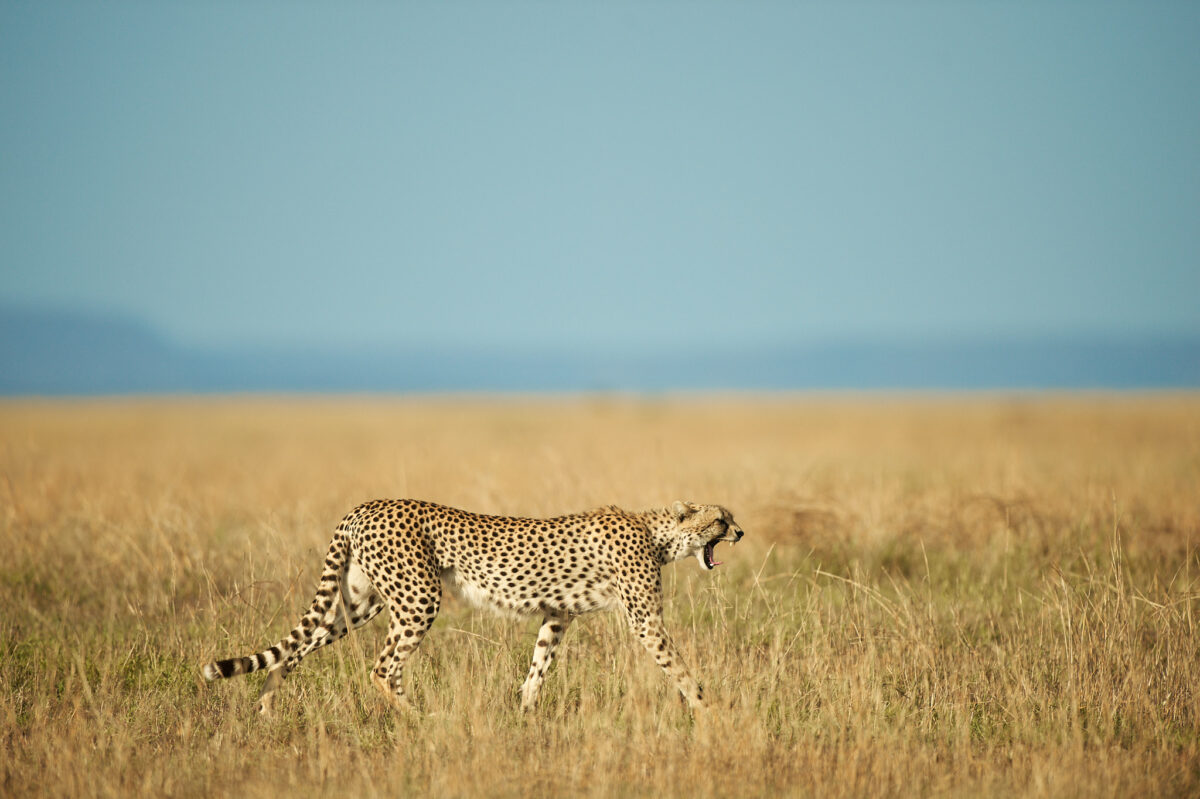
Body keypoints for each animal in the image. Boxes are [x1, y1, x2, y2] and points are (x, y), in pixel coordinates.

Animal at [202, 498, 744, 716]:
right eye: (720, 519)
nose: (740, 532)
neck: (659, 533)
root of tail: (366, 505)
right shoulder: (645, 619)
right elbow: (678, 666)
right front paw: (707, 710)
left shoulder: (557, 615)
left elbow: (538, 666)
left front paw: (525, 715)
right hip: (418, 598)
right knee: (382, 667)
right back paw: (418, 718)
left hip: (360, 603)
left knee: (296, 649)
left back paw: (266, 707)